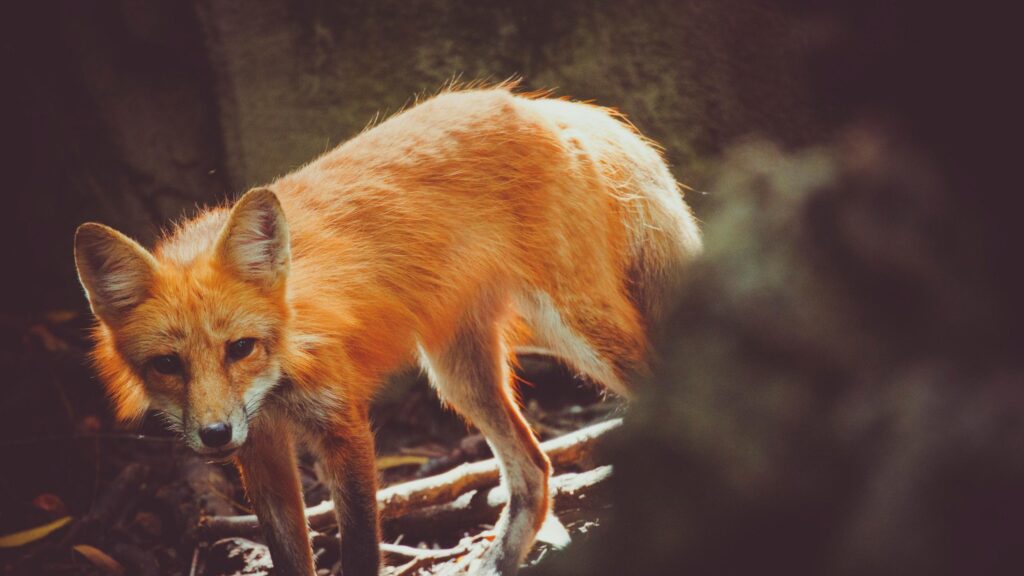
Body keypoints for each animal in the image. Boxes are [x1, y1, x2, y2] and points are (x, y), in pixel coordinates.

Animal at [73, 86, 701, 575]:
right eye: (168, 364)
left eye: (240, 349)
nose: (213, 435)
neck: (283, 365)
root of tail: (541, 106)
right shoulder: (262, 448)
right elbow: (290, 557)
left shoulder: (344, 427)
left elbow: (358, 552)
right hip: (460, 375)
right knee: (536, 471)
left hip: (576, 330)